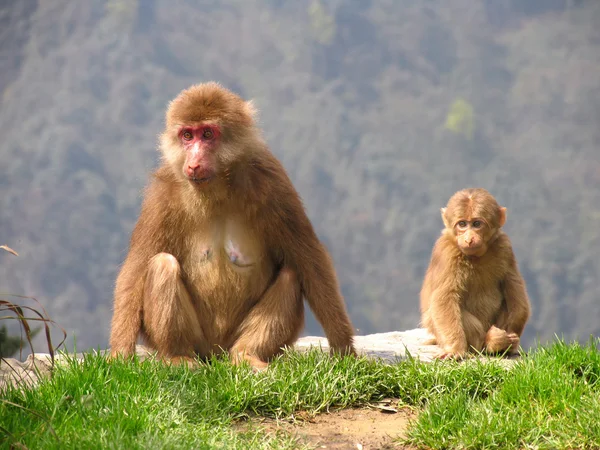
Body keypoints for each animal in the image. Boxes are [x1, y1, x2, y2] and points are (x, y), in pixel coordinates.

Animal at [109, 81, 356, 370]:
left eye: (207, 134)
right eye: (187, 136)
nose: (194, 162)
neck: (217, 189)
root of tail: (216, 355)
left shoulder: (273, 182)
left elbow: (309, 259)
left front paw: (343, 348)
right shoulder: (162, 196)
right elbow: (136, 269)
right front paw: (119, 354)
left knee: (290, 275)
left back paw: (247, 354)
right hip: (200, 342)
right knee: (162, 264)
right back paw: (177, 356)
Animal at [420, 188, 532, 360]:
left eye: (477, 224)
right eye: (462, 224)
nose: (469, 239)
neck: (475, 256)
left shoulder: (505, 246)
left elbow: (514, 286)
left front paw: (512, 340)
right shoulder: (446, 253)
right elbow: (444, 298)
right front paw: (455, 349)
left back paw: (501, 343)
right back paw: (491, 341)